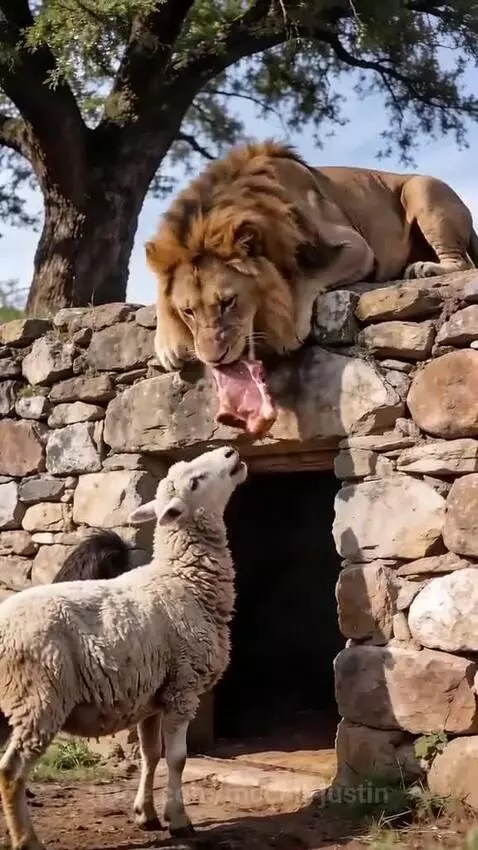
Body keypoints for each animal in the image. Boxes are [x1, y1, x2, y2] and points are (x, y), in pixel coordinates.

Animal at [0, 445, 247, 850]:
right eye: (195, 481)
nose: (230, 451)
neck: (183, 579)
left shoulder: (153, 694)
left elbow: (151, 755)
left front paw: (146, 814)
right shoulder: (184, 687)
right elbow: (177, 759)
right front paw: (179, 820)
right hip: (38, 698)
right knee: (11, 771)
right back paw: (26, 839)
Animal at [145, 139, 478, 372]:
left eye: (228, 302)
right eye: (188, 311)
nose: (213, 359)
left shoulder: (359, 247)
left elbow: (309, 276)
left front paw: (291, 326)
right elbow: (161, 291)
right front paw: (167, 343)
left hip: (422, 188)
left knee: (461, 262)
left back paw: (424, 268)